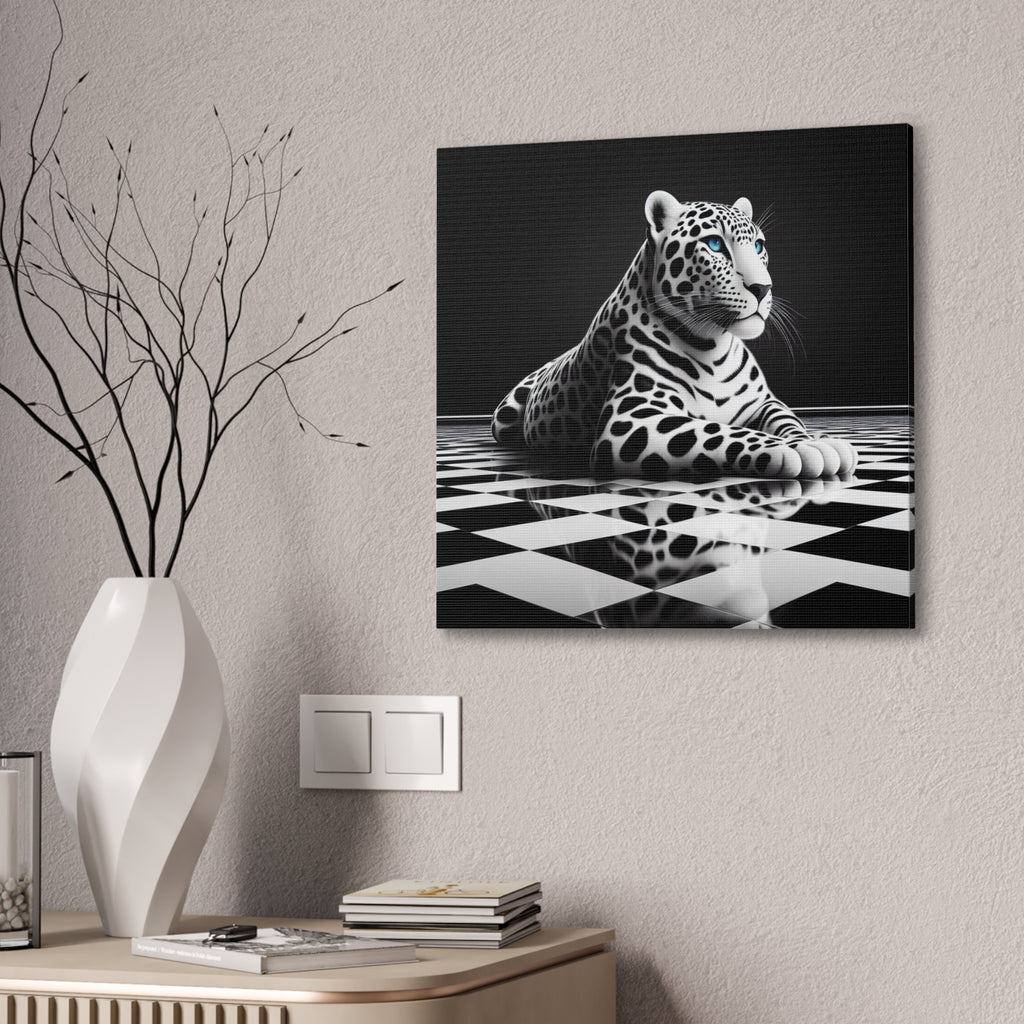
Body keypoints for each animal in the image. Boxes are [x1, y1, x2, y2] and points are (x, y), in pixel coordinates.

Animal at [491, 192, 858, 481]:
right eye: (714, 244)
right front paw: (798, 449)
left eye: (758, 246)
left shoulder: (763, 402)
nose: (763, 288)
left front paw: (812, 439)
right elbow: (719, 431)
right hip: (503, 417)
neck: (715, 347)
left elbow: (788, 420)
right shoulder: (632, 418)